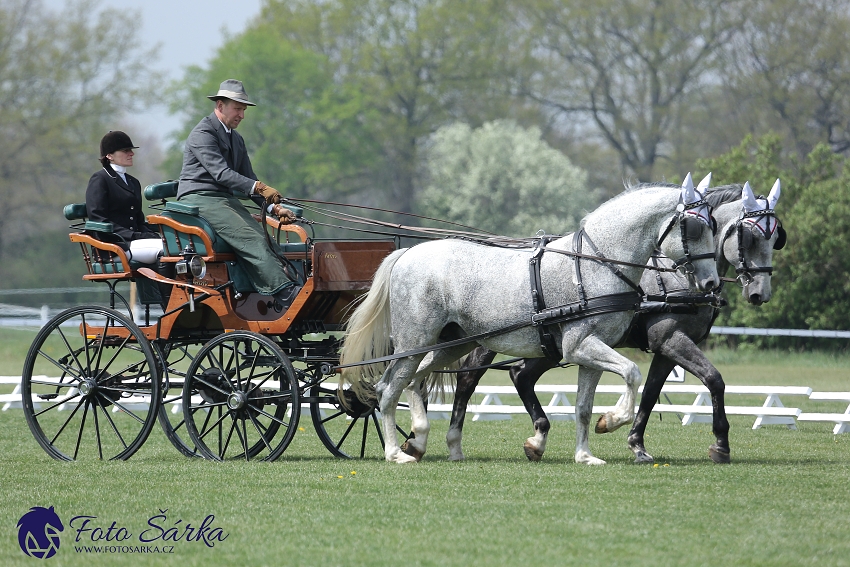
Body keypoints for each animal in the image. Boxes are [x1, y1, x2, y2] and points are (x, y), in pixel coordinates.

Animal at [338, 180, 716, 464]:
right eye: (696, 227)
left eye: (714, 225)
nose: (711, 283)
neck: (596, 263)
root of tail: (408, 253)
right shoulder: (579, 345)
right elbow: (633, 373)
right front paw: (612, 421)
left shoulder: (590, 353)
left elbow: (583, 406)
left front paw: (585, 455)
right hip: (414, 341)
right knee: (389, 387)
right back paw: (394, 453)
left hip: (451, 343)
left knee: (415, 380)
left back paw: (420, 441)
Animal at [448, 179, 784, 466]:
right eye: (750, 236)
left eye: (776, 237)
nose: (760, 293)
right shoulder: (670, 339)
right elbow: (713, 379)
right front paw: (721, 444)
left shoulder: (664, 349)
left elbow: (650, 395)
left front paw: (637, 444)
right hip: (492, 340)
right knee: (467, 380)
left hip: (548, 345)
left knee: (520, 375)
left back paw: (537, 439)